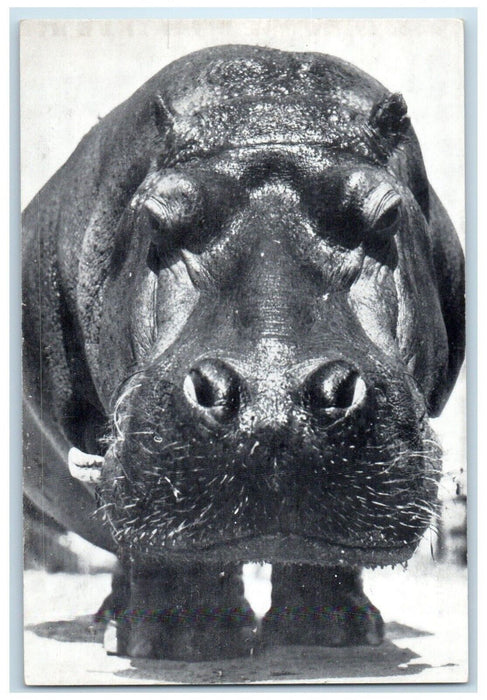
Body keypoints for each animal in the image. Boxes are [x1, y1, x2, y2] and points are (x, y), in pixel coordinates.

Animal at [22, 45, 465, 661]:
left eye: (386, 213)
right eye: (156, 214)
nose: (271, 404)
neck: (268, 114)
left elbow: (324, 557)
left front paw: (337, 637)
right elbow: (164, 550)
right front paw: (185, 640)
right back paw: (120, 626)